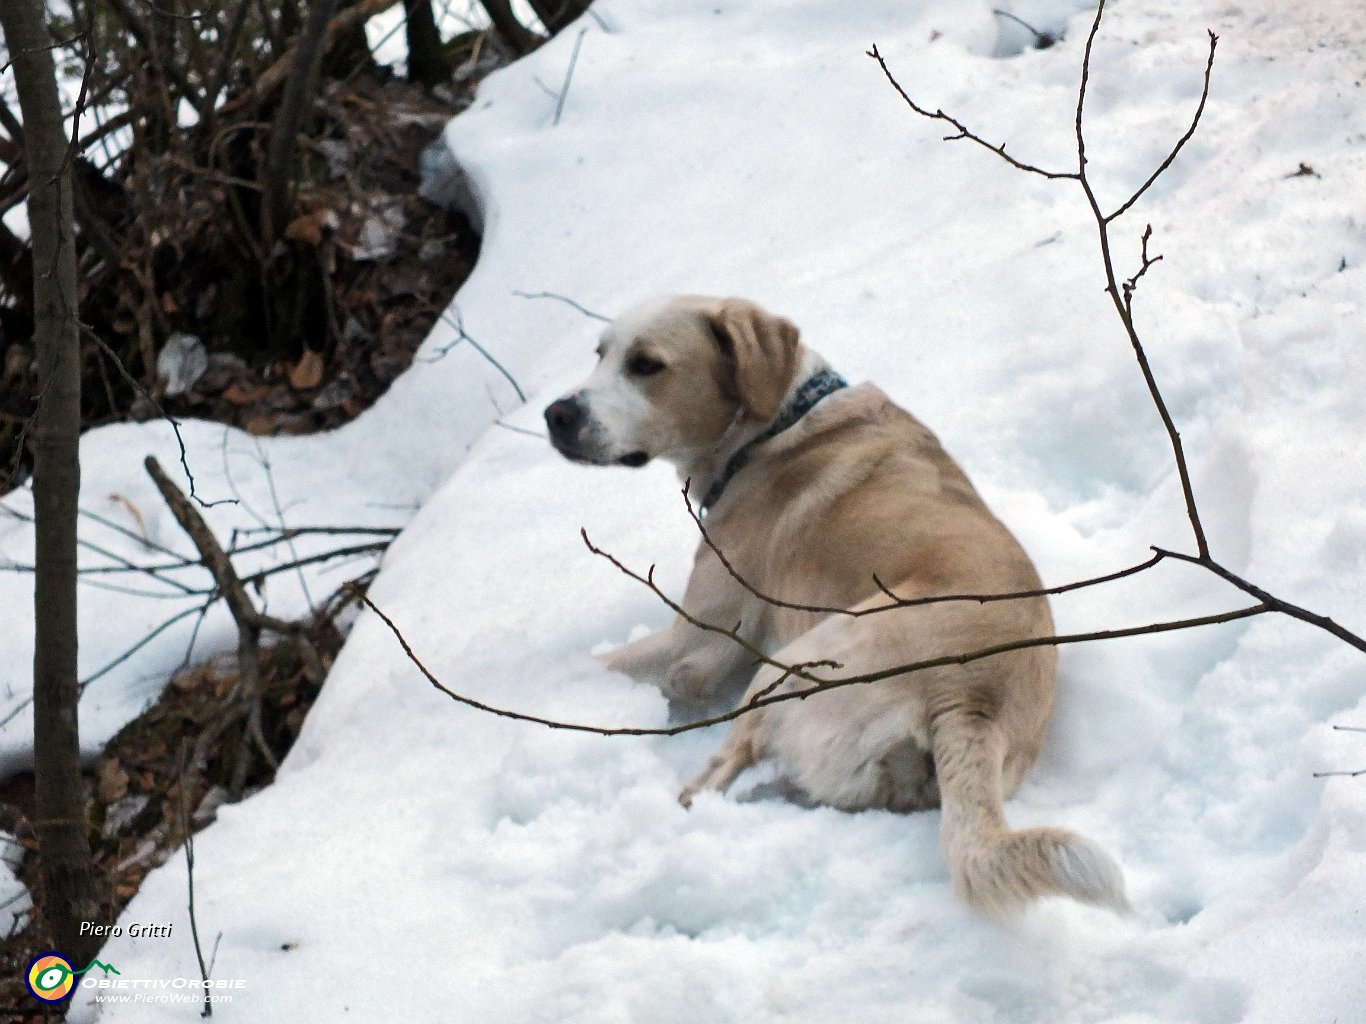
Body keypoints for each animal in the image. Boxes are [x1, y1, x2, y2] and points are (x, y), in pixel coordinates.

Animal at [543, 294, 1131, 912]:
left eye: (646, 364)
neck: (775, 425)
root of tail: (971, 699)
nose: (555, 415)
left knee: (720, 770)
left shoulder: (698, 644)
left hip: (793, 664)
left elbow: (599, 664)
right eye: (601, 354)